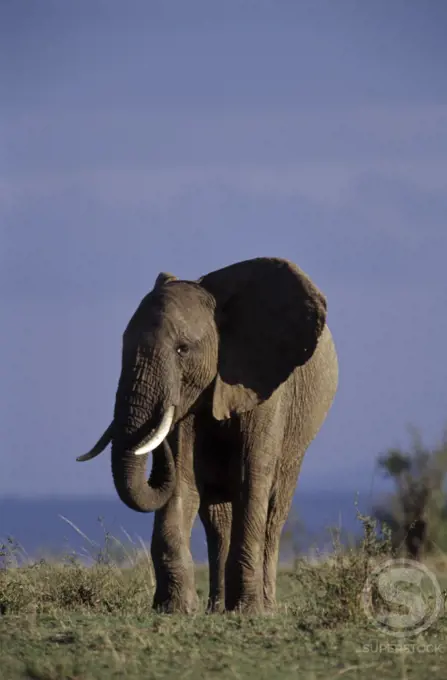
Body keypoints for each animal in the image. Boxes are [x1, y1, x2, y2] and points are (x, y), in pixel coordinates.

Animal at [77, 256, 338, 616]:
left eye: (182, 349)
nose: (156, 447)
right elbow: (183, 482)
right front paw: (174, 609)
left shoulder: (265, 387)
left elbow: (251, 479)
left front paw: (248, 612)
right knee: (217, 521)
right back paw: (216, 608)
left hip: (297, 442)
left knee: (274, 513)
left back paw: (265, 606)